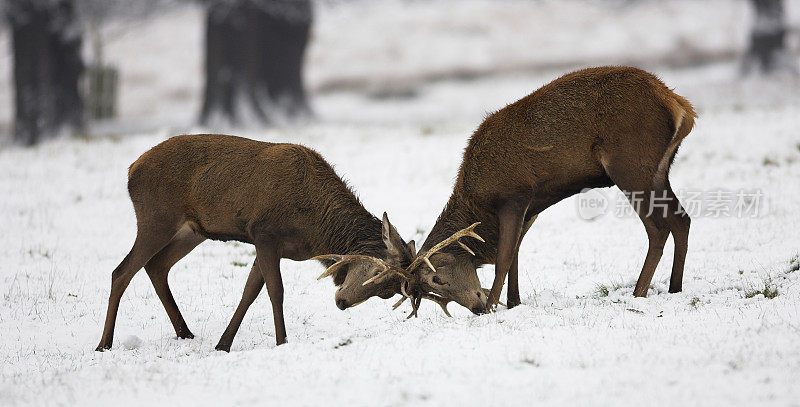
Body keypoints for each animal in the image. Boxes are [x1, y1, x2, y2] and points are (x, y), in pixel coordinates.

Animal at [94, 133, 416, 350]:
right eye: (376, 271)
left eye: (387, 293)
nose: (342, 302)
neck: (315, 230)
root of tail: (131, 169)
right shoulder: (264, 234)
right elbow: (275, 291)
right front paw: (282, 341)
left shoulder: (268, 246)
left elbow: (250, 291)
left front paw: (222, 344)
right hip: (155, 219)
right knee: (121, 271)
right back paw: (104, 343)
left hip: (192, 231)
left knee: (157, 266)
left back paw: (185, 332)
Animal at [356, 66, 692, 316]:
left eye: (436, 278)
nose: (475, 307)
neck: (480, 205)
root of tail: (679, 105)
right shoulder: (530, 207)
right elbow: (517, 252)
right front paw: (514, 303)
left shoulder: (513, 196)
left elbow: (504, 257)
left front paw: (493, 306)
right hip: (659, 170)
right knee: (681, 219)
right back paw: (675, 288)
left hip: (631, 165)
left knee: (658, 228)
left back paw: (638, 293)